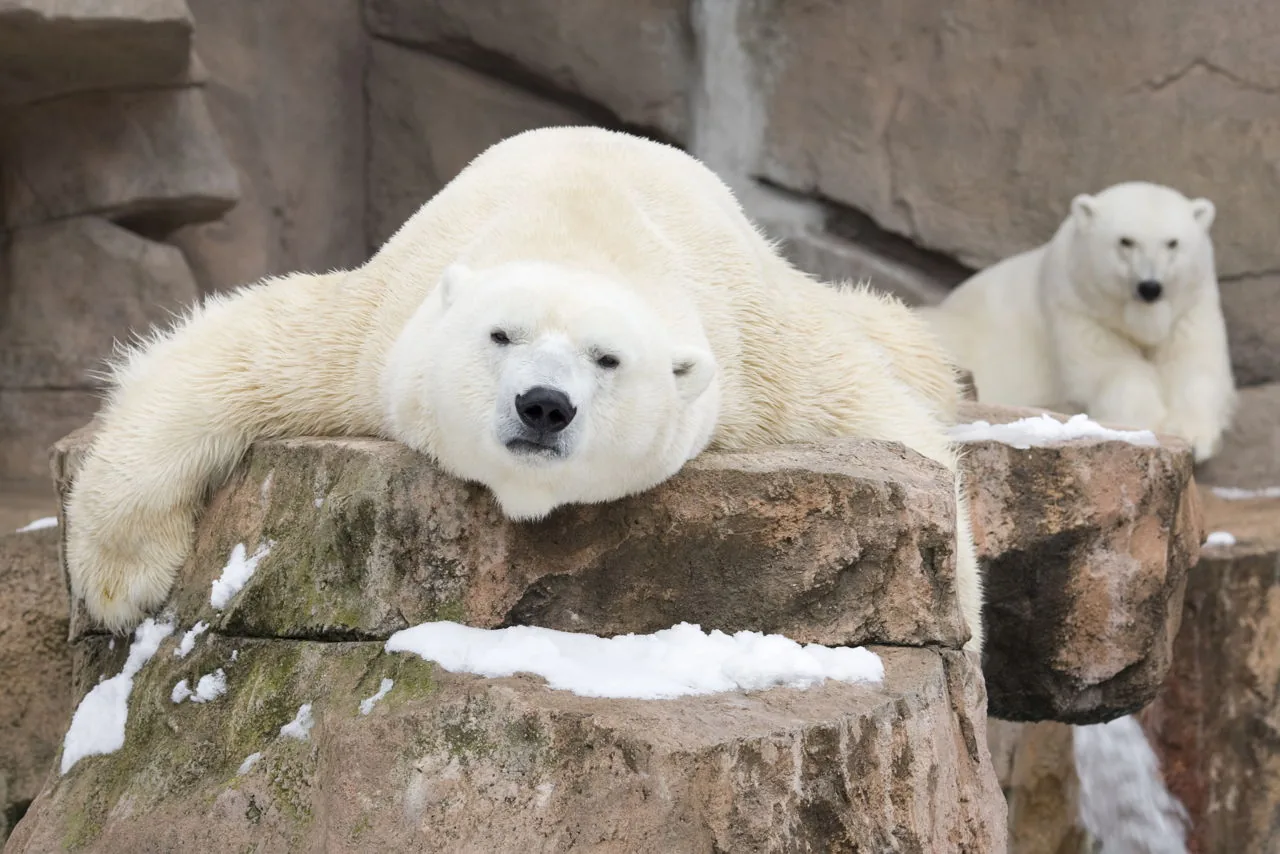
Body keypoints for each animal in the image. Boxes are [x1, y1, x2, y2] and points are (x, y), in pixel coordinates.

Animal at [66, 125, 984, 653]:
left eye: (608, 360)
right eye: (499, 335)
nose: (543, 404)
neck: (581, 226)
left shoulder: (755, 361)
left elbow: (883, 419)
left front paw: (961, 629)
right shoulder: (380, 330)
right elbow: (237, 355)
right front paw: (119, 583)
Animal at [918, 181, 1236, 462]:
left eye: (1172, 243)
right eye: (1126, 241)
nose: (1150, 287)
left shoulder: (1192, 307)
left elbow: (1192, 364)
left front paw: (1195, 437)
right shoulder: (1077, 306)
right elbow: (1110, 368)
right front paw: (1149, 425)